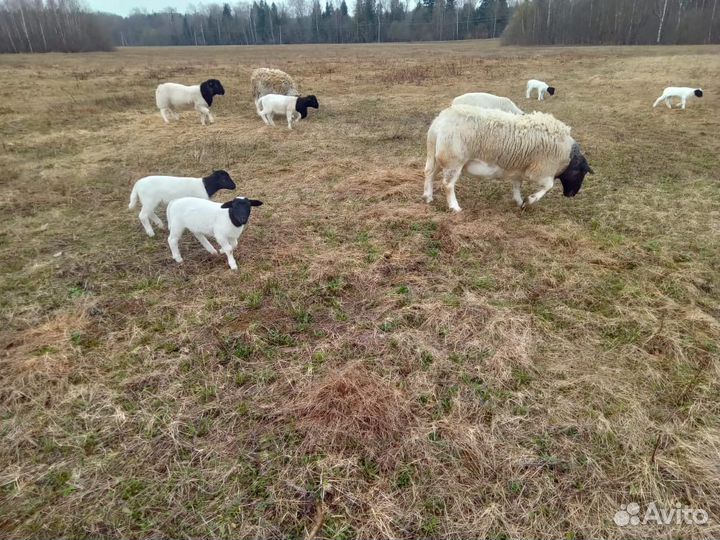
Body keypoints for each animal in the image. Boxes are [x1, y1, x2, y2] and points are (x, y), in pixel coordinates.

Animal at [423, 105, 593, 213]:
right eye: (580, 172)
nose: (571, 195)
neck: (567, 156)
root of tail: (439, 123)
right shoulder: (541, 170)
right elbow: (548, 186)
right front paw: (530, 200)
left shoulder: (519, 168)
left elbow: (517, 185)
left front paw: (519, 201)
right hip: (453, 160)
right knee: (448, 185)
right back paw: (454, 207)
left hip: (436, 156)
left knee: (429, 173)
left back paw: (428, 197)